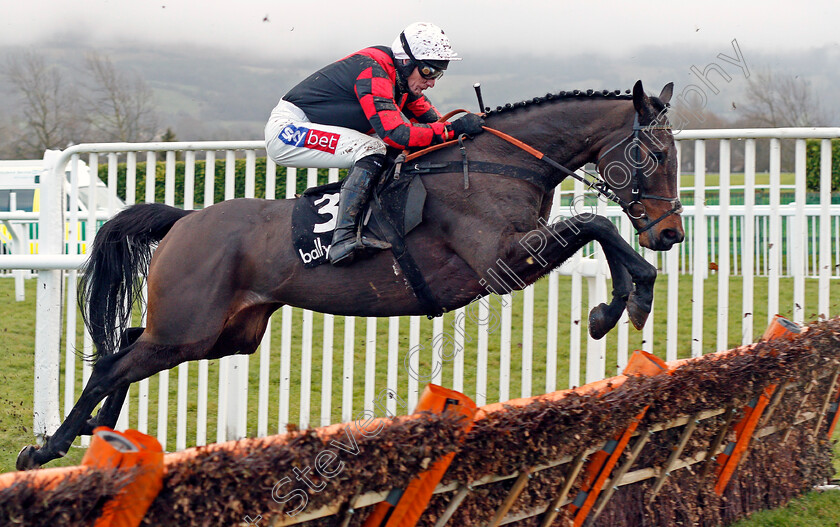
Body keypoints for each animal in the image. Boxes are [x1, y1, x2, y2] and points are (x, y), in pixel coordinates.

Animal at [18, 79, 684, 470]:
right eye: (653, 154)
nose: (670, 233)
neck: (499, 162)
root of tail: (186, 219)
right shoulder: (502, 263)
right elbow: (595, 223)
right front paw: (621, 304)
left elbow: (598, 229)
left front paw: (623, 300)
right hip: (191, 327)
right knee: (112, 364)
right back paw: (47, 449)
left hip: (220, 333)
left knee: (128, 348)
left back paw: (106, 440)